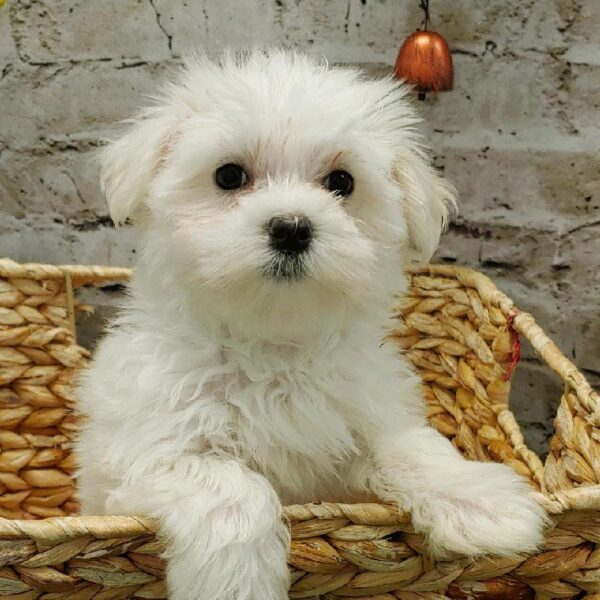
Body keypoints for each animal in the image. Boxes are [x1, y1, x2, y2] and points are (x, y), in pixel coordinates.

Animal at [77, 50, 548, 600]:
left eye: (341, 182)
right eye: (229, 176)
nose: (291, 228)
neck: (272, 342)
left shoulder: (365, 412)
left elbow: (411, 446)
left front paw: (482, 502)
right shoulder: (149, 456)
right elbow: (232, 488)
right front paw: (238, 583)